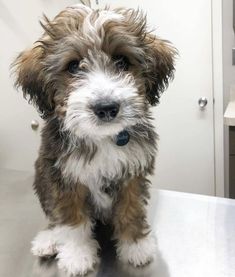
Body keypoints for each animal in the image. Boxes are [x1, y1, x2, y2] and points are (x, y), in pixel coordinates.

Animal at [12, 3, 174, 274]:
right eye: (73, 66)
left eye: (122, 61)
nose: (106, 107)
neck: (102, 138)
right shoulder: (64, 177)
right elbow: (72, 221)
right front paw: (77, 255)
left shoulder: (133, 173)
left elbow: (131, 209)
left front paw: (135, 245)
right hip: (42, 177)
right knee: (53, 218)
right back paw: (49, 240)